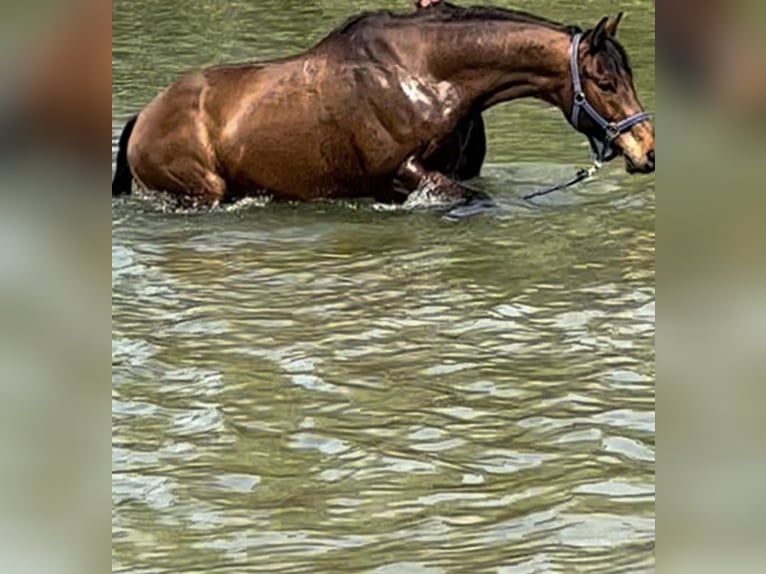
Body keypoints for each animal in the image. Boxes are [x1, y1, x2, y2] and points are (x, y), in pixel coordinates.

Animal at [112, 4, 656, 214]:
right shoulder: (401, 172)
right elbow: (471, 199)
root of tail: (143, 117)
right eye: (606, 82)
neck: (425, 72)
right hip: (201, 191)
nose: (647, 151)